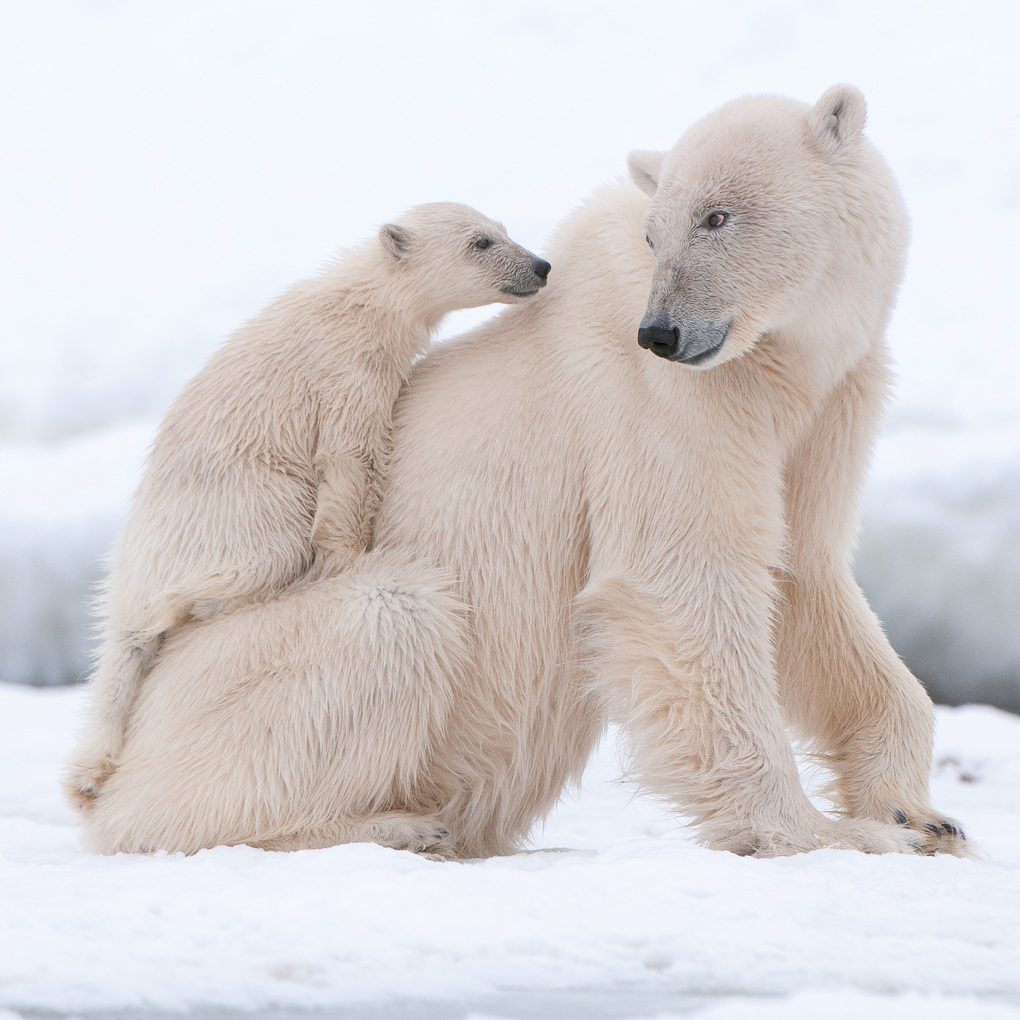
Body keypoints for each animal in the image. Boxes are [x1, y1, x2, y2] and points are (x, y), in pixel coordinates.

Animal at [65, 202, 551, 811]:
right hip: (238, 508)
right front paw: (348, 558)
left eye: (503, 230)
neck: (362, 302)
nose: (541, 266)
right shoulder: (347, 371)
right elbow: (350, 456)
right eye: (480, 242)